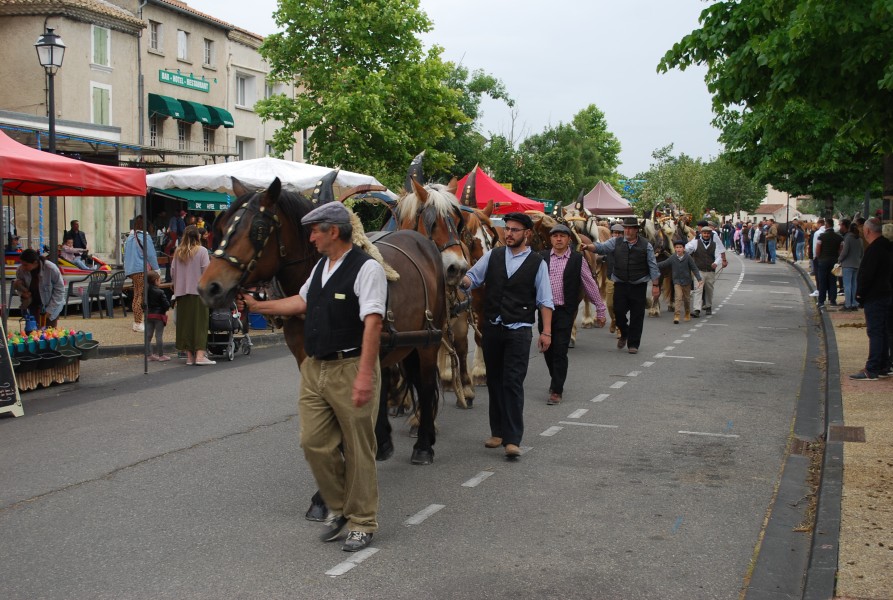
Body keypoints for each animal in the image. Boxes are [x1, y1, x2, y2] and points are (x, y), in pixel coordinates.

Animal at [196, 176, 446, 466]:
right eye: (222, 226)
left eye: (258, 229)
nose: (209, 288)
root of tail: (421, 241)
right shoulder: (308, 359)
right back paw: (383, 442)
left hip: (428, 342)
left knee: (425, 385)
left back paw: (424, 445)